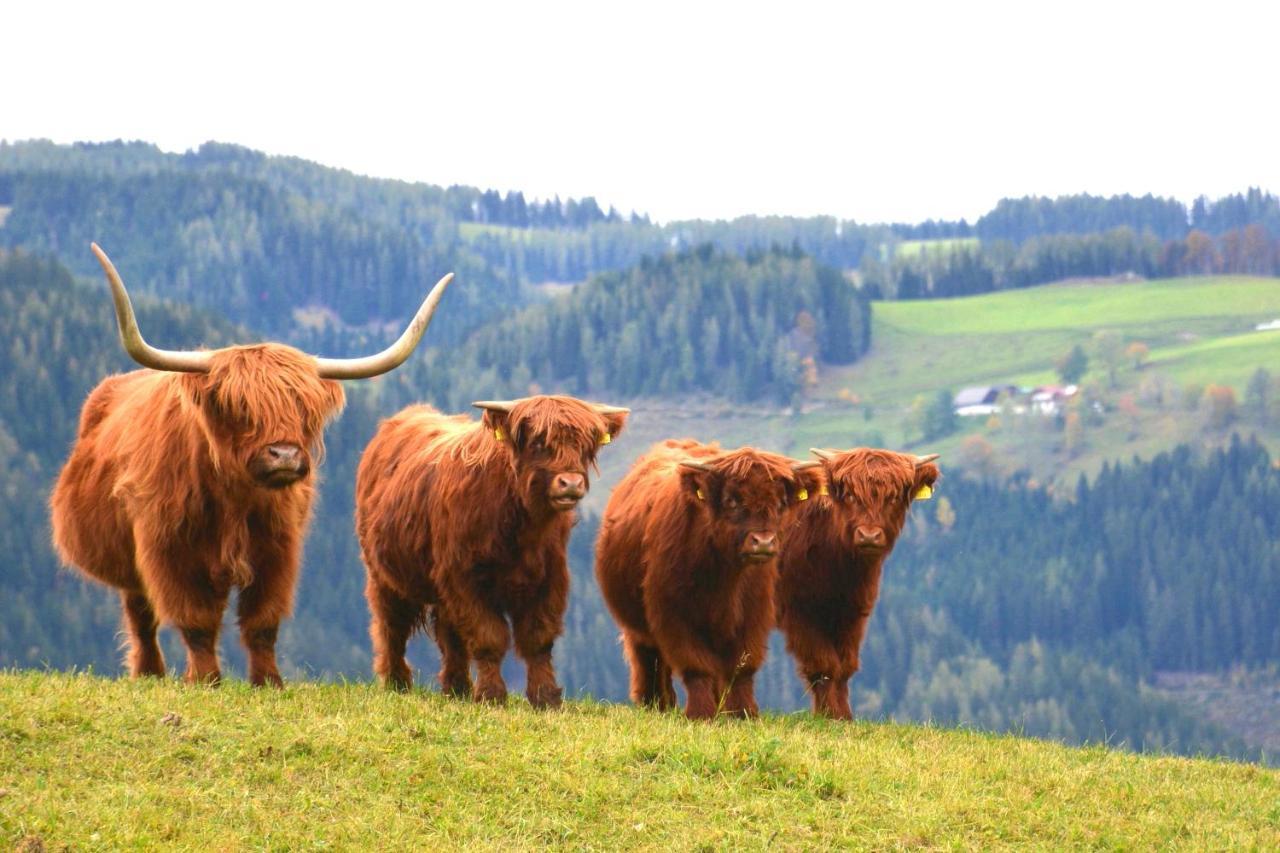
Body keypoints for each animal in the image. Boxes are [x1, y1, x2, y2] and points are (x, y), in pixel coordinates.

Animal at [51, 244, 455, 686]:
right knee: (141, 613)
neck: (234, 498)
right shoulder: (169, 551)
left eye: (303, 408)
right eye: (239, 407)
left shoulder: (278, 550)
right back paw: (148, 672)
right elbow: (195, 621)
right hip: (130, 559)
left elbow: (263, 622)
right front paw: (206, 679)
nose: (285, 455)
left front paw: (269, 681)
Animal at [355, 391, 624, 701]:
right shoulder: (466, 580)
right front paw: (491, 695)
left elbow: (538, 639)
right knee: (391, 626)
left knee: (449, 634)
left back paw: (457, 688)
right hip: (385, 575)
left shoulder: (549, 579)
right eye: (538, 443)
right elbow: (489, 637)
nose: (570, 483)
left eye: (585, 445)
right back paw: (397, 682)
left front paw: (545, 697)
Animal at [591, 438, 814, 717]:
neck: (725, 576)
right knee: (648, 657)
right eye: (731, 500)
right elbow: (696, 666)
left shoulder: (753, 614)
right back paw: (656, 703)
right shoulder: (674, 616)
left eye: (781, 502)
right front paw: (700, 713)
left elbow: (742, 668)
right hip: (636, 622)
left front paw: (744, 713)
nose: (763, 542)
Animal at [768, 445, 942, 717]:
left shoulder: (853, 611)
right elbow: (823, 664)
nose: (869, 536)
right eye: (850, 496)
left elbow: (845, 666)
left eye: (893, 498)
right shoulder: (799, 611)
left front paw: (844, 716)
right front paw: (829, 715)